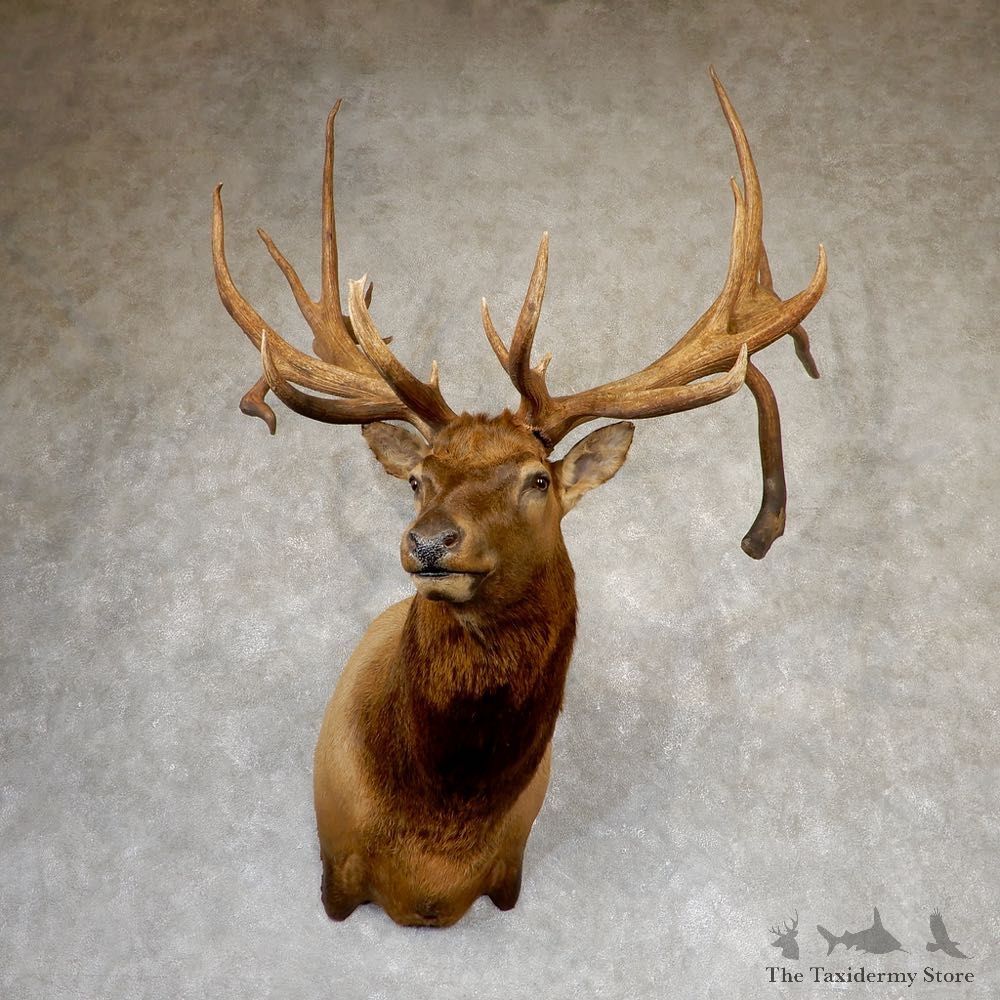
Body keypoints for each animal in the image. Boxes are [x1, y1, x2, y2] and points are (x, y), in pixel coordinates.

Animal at [211, 69, 826, 928]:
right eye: (417, 479)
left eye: (538, 480)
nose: (429, 542)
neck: (435, 846)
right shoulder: (334, 870)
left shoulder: (508, 872)